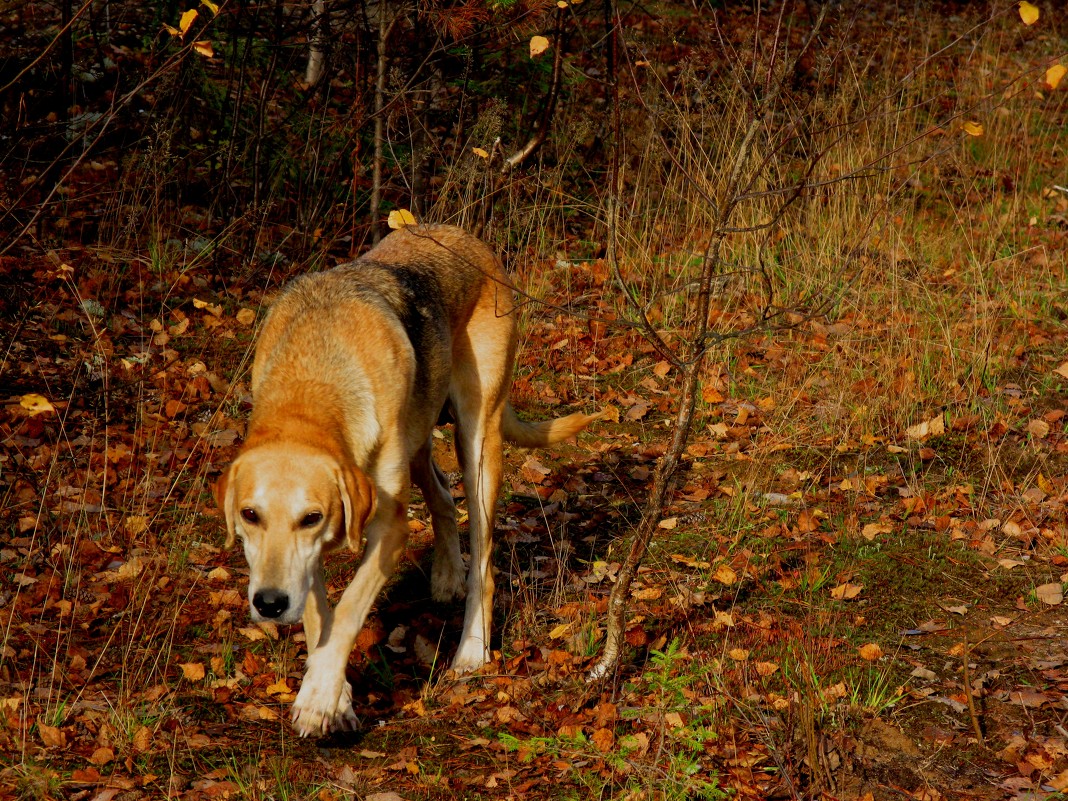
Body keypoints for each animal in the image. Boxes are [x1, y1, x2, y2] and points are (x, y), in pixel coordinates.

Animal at [216, 227, 602, 739]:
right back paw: (445, 575)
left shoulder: (387, 529)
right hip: (420, 438)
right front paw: (334, 695)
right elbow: (322, 619)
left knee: (483, 564)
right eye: (250, 515)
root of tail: (465, 237)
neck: (312, 386)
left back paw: (472, 649)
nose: (271, 605)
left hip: (477, 441)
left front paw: (319, 699)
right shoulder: (311, 555)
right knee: (442, 497)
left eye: (311, 517)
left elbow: (349, 611)